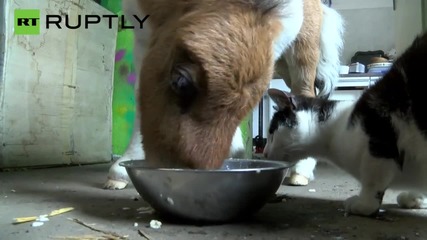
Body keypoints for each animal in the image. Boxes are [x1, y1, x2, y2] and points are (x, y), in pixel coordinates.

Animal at [264, 32, 427, 218]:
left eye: (271, 132)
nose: (264, 152)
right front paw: (416, 198)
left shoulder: (379, 133)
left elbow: (373, 182)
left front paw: (362, 204)